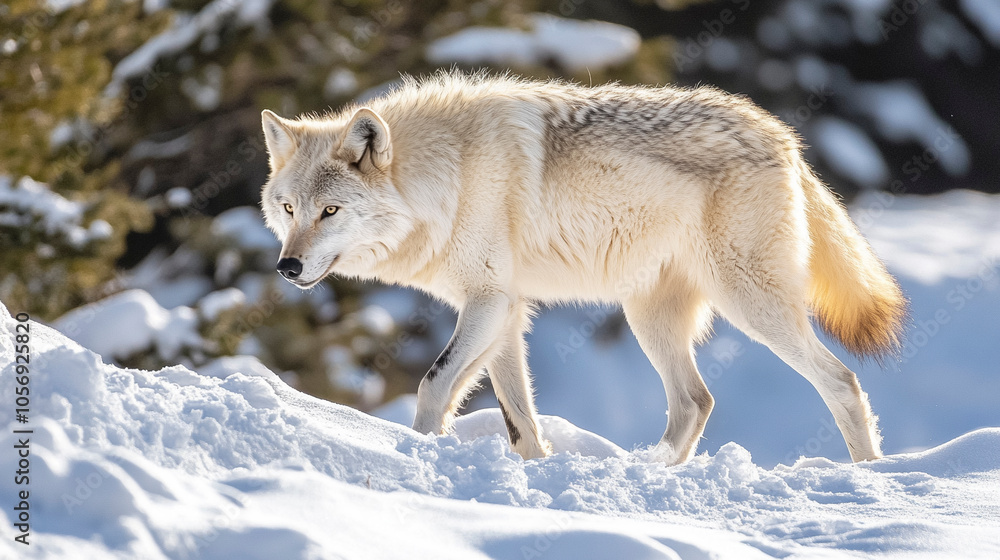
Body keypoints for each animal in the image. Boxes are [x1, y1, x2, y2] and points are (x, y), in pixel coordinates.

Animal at [259, 72, 906, 465]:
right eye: (289, 209)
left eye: (331, 210)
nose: (287, 266)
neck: (447, 177)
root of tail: (783, 136)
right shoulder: (506, 312)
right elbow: (518, 419)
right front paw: (529, 473)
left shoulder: (489, 303)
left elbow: (432, 384)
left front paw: (418, 453)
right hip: (649, 318)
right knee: (695, 402)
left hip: (750, 306)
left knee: (841, 381)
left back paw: (867, 477)